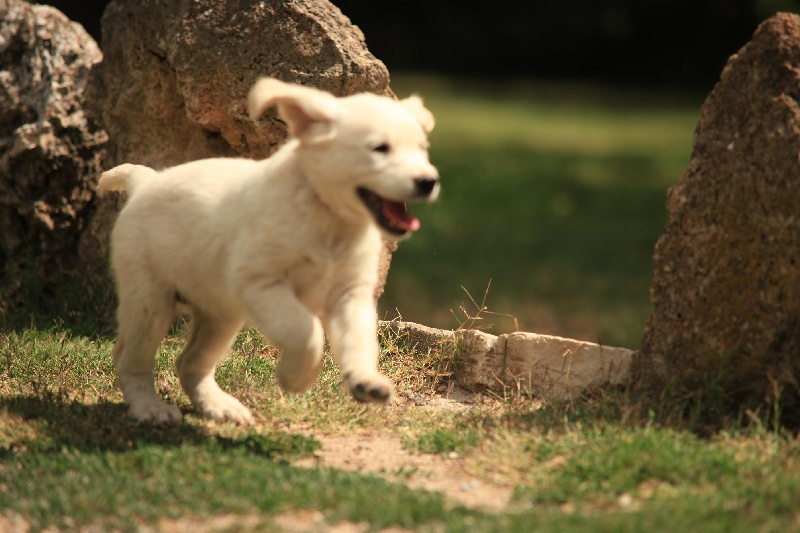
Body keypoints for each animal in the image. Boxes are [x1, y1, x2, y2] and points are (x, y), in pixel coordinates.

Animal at [98, 77, 444, 424]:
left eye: (422, 150)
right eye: (380, 148)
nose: (428, 182)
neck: (328, 219)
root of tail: (145, 183)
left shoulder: (351, 293)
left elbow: (358, 339)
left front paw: (366, 381)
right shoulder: (260, 283)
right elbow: (307, 332)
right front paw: (295, 378)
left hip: (219, 314)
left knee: (190, 362)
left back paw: (218, 406)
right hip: (149, 299)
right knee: (130, 358)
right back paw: (149, 407)